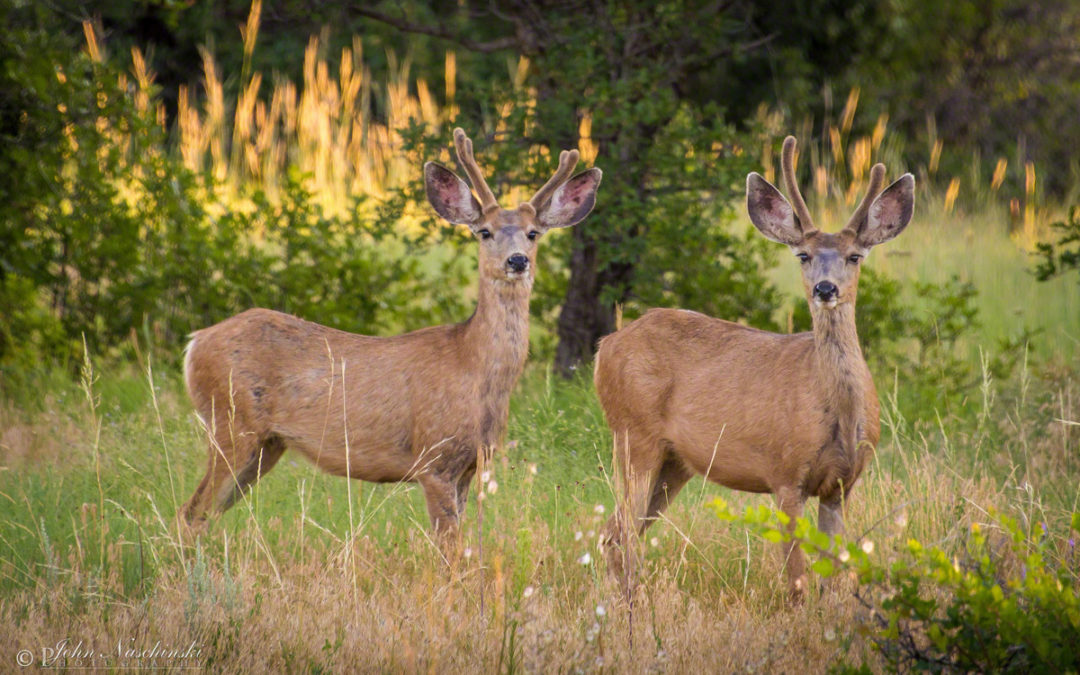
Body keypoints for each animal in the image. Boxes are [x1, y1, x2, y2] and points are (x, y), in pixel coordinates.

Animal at [181, 127, 604, 548]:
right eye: (485, 232)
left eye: (533, 233)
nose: (517, 260)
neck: (473, 367)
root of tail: (195, 343)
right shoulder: (433, 459)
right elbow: (449, 549)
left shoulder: (470, 466)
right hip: (230, 422)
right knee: (190, 510)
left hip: (266, 444)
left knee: (202, 513)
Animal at [596, 135, 915, 600]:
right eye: (803, 255)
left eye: (855, 256)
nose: (825, 288)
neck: (835, 411)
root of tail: (605, 346)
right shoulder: (784, 472)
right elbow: (797, 577)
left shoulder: (841, 485)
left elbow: (832, 574)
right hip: (633, 435)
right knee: (618, 533)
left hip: (675, 462)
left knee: (617, 532)